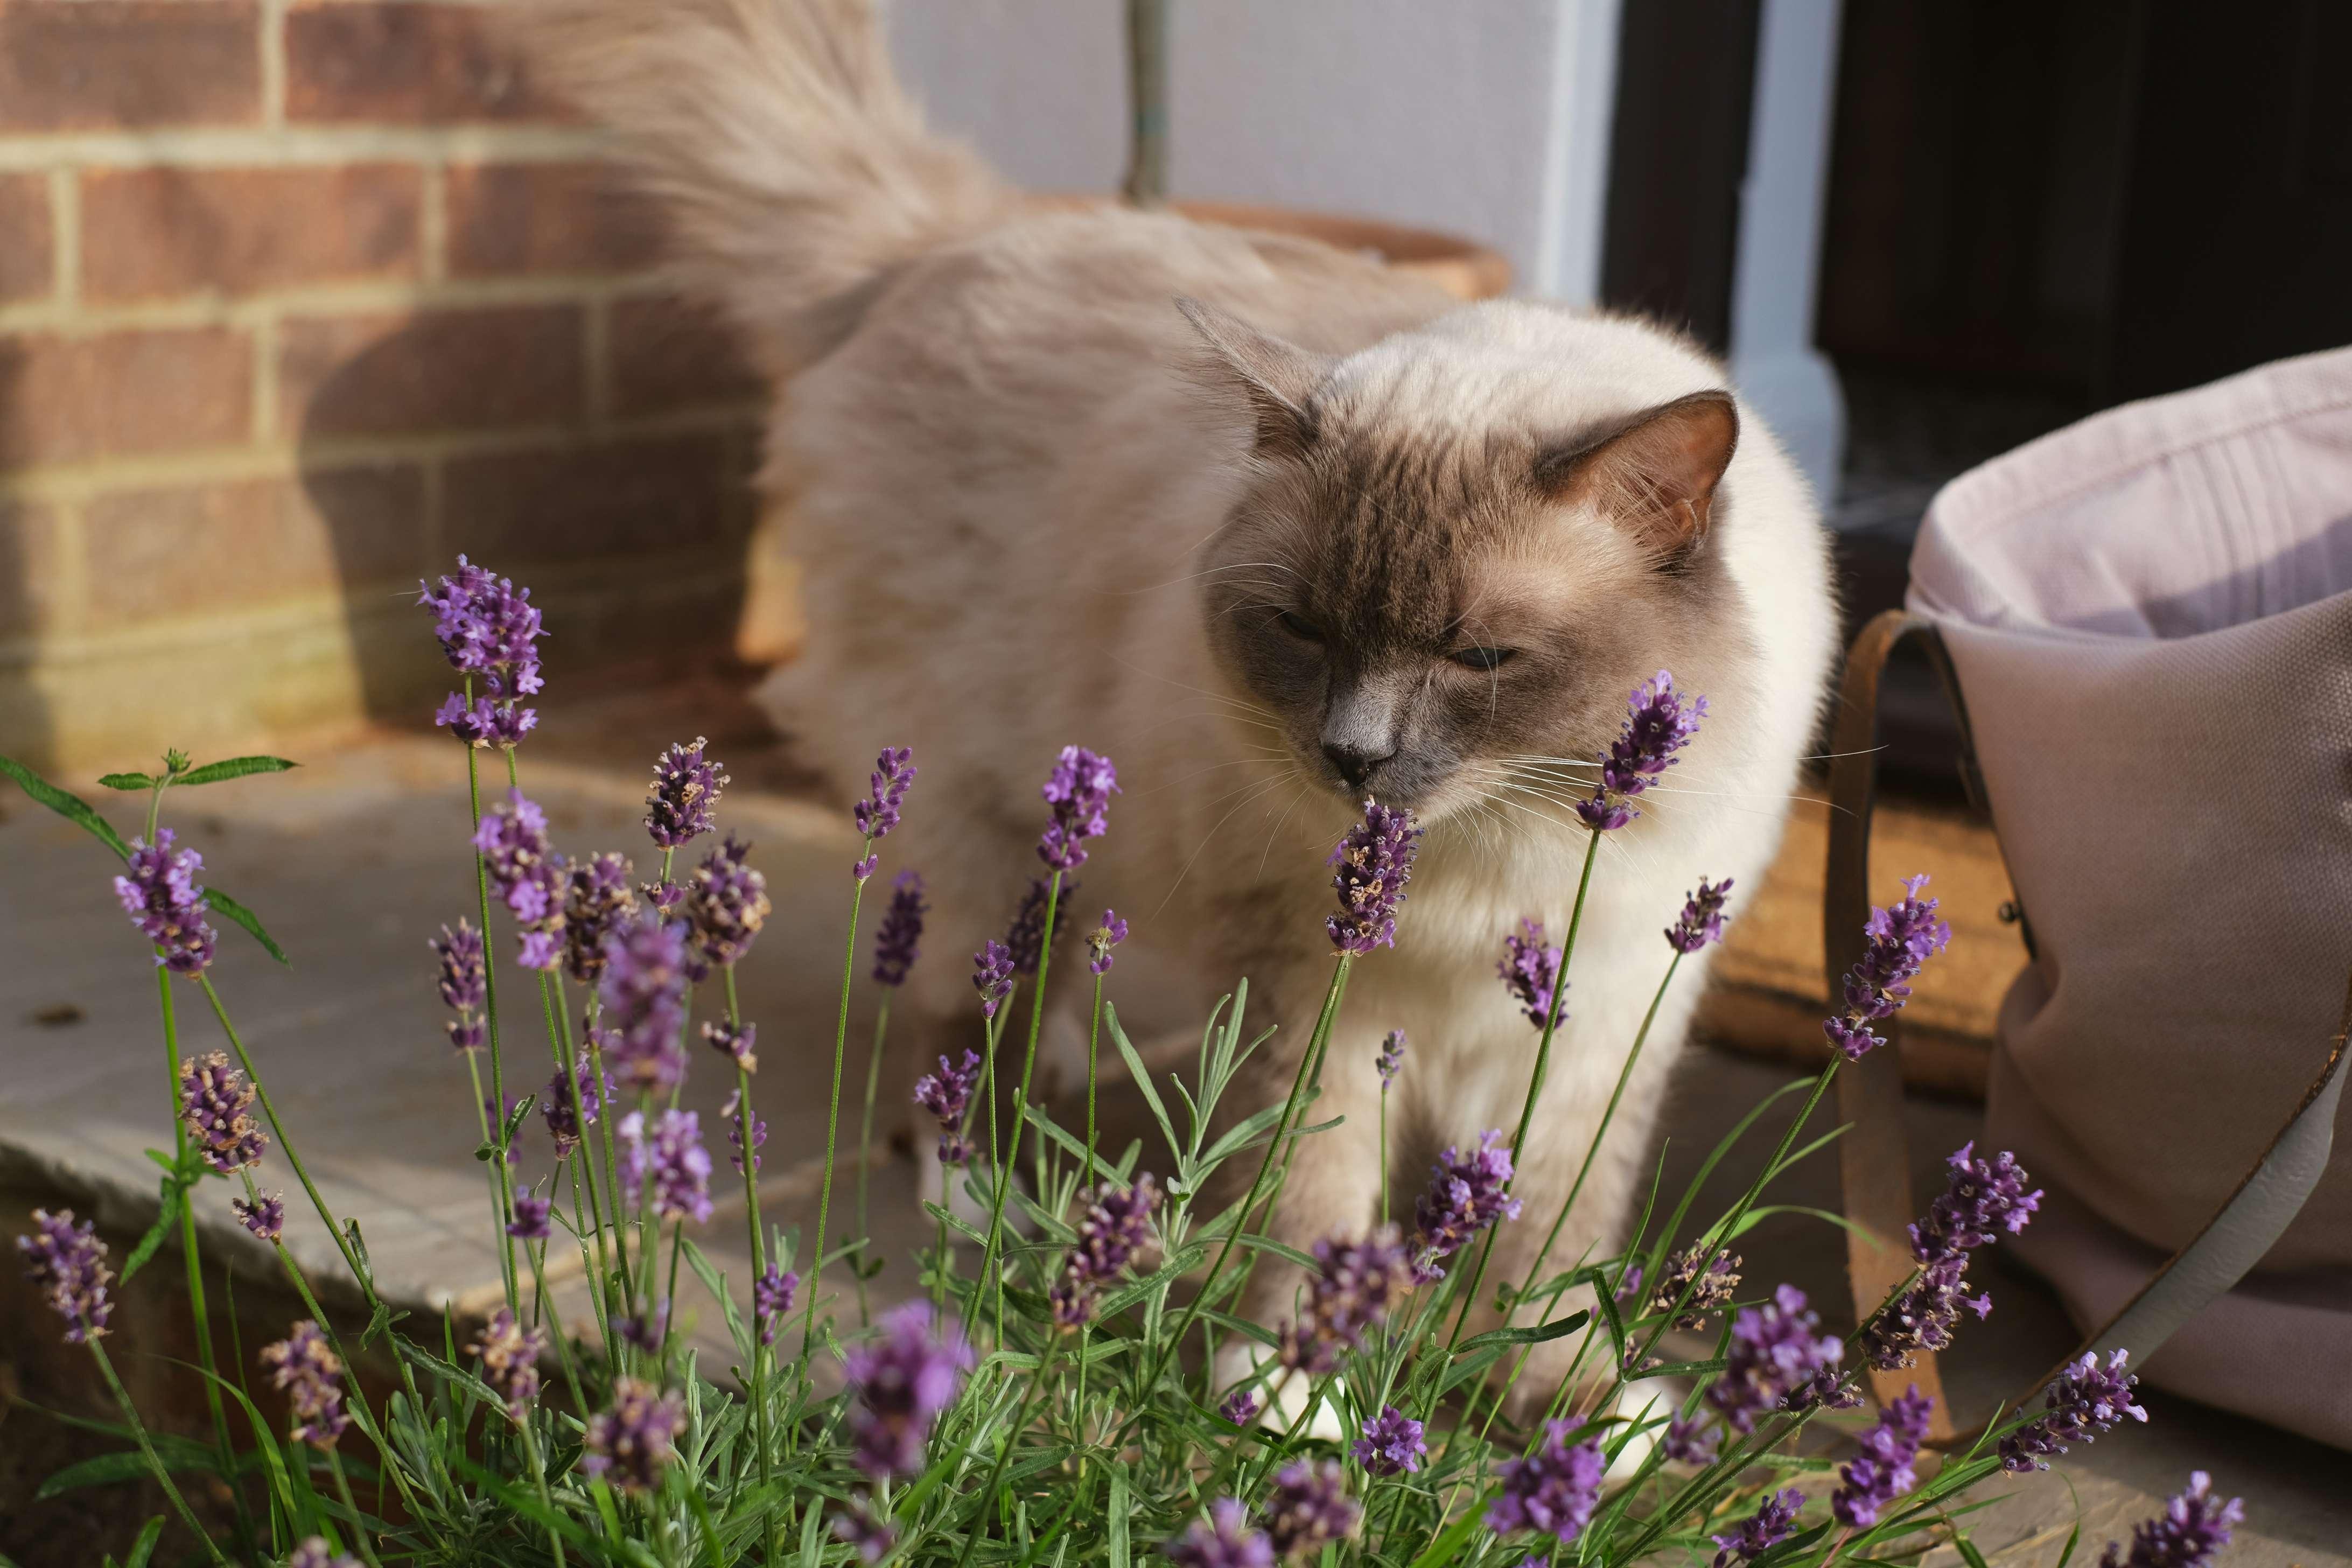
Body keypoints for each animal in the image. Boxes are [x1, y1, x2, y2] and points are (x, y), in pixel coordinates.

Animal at [534, 0, 1835, 1419]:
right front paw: (1295, 1387)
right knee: (965, 1016)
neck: (1490, 850)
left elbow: (1551, 1242)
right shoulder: (1316, 991)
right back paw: (991, 1196)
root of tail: (954, 235)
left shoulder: (1598, 1017)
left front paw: (1573, 1413)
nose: (1352, 756)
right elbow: (1314, 1195)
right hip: (996, 817)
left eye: (1480, 656)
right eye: (1304, 629)